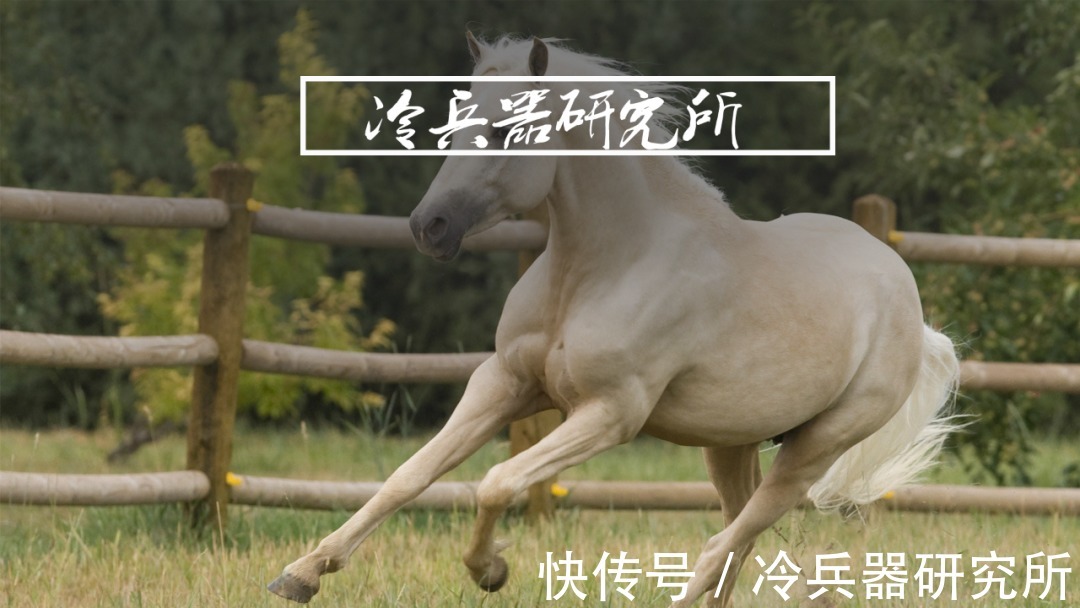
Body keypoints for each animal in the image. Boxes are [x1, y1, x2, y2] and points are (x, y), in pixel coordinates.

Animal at [269, 33, 960, 607]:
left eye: (504, 130)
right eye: (454, 126)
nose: (428, 227)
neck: (598, 269)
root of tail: (908, 302)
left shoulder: (610, 413)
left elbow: (495, 481)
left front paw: (490, 570)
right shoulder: (503, 384)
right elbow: (407, 477)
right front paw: (301, 574)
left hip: (817, 447)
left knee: (726, 540)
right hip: (730, 442)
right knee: (737, 539)